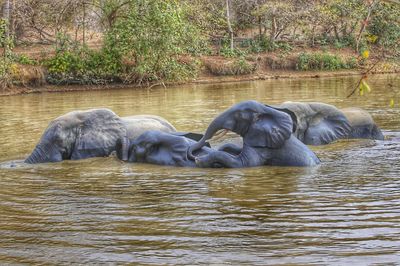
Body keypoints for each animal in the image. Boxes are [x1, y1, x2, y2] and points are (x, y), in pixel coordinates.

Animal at [188, 101, 322, 167]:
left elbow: (243, 163)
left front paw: (199, 161)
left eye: (238, 116)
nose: (194, 156)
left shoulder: (265, 149)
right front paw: (222, 148)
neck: (266, 110)